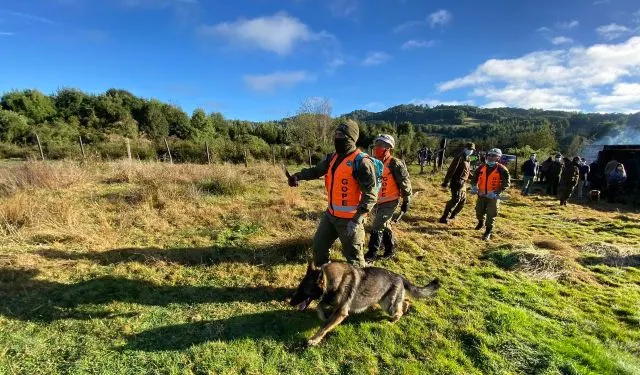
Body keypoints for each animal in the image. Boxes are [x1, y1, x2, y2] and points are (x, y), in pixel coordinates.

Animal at [290, 262, 440, 346]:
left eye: (303, 290)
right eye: (299, 288)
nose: (290, 303)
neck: (334, 281)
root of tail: (400, 276)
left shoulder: (341, 312)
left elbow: (324, 328)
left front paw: (314, 339)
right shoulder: (331, 302)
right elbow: (319, 306)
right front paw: (323, 316)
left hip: (387, 305)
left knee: (399, 310)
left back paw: (393, 320)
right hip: (386, 302)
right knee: (406, 302)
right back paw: (405, 309)